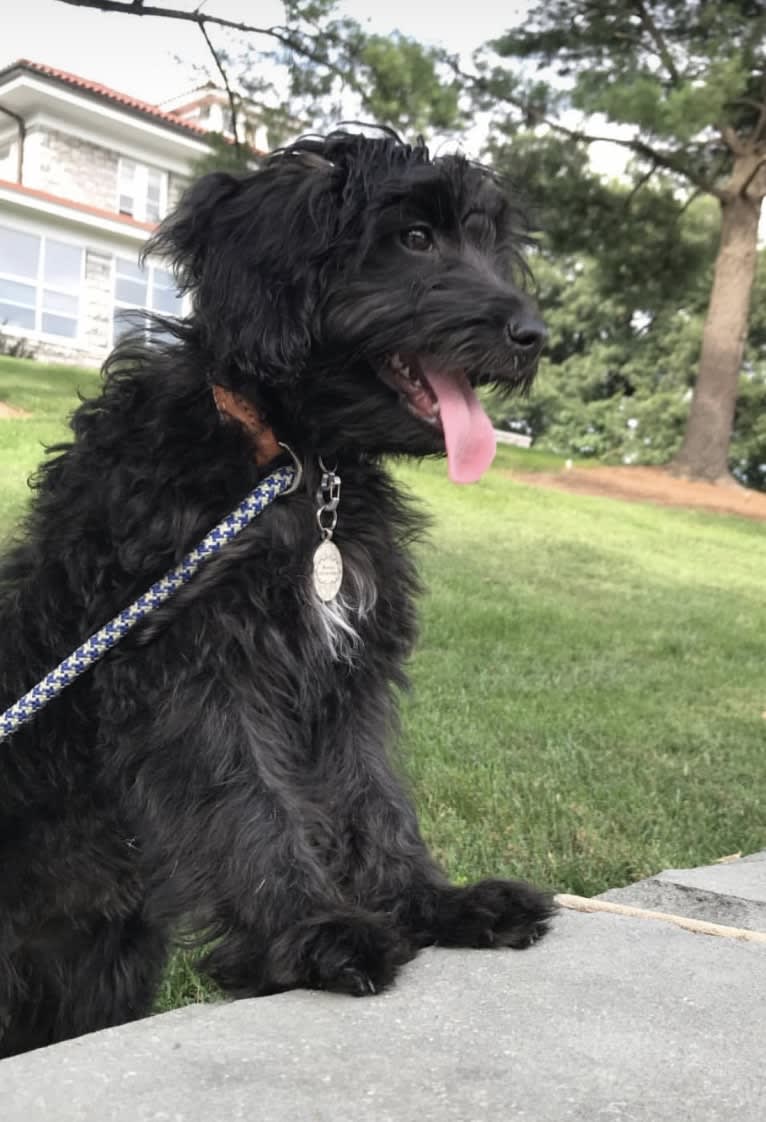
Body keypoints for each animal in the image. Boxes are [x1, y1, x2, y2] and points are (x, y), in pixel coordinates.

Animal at [0, 127, 551, 1054]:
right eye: (414, 238)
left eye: (487, 240)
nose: (535, 334)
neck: (295, 461)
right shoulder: (194, 668)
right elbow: (249, 801)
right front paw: (317, 933)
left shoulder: (347, 671)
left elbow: (372, 796)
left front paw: (434, 904)